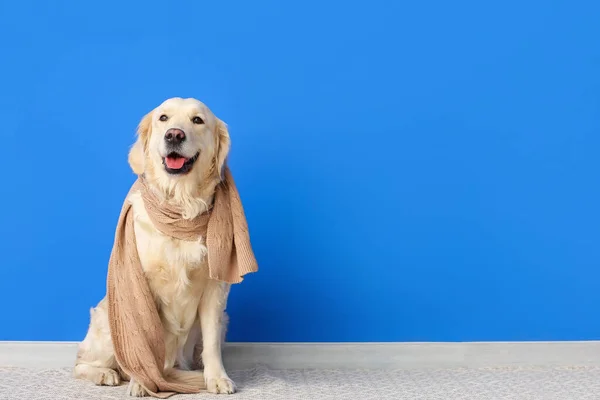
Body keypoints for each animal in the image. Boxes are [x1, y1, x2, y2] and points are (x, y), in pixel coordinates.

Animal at [73, 97, 237, 396]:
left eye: (198, 120)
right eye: (163, 118)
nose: (174, 135)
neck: (179, 206)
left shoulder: (214, 289)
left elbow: (210, 343)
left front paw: (217, 378)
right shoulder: (143, 287)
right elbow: (145, 343)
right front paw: (143, 381)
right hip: (107, 322)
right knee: (81, 363)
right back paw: (105, 374)